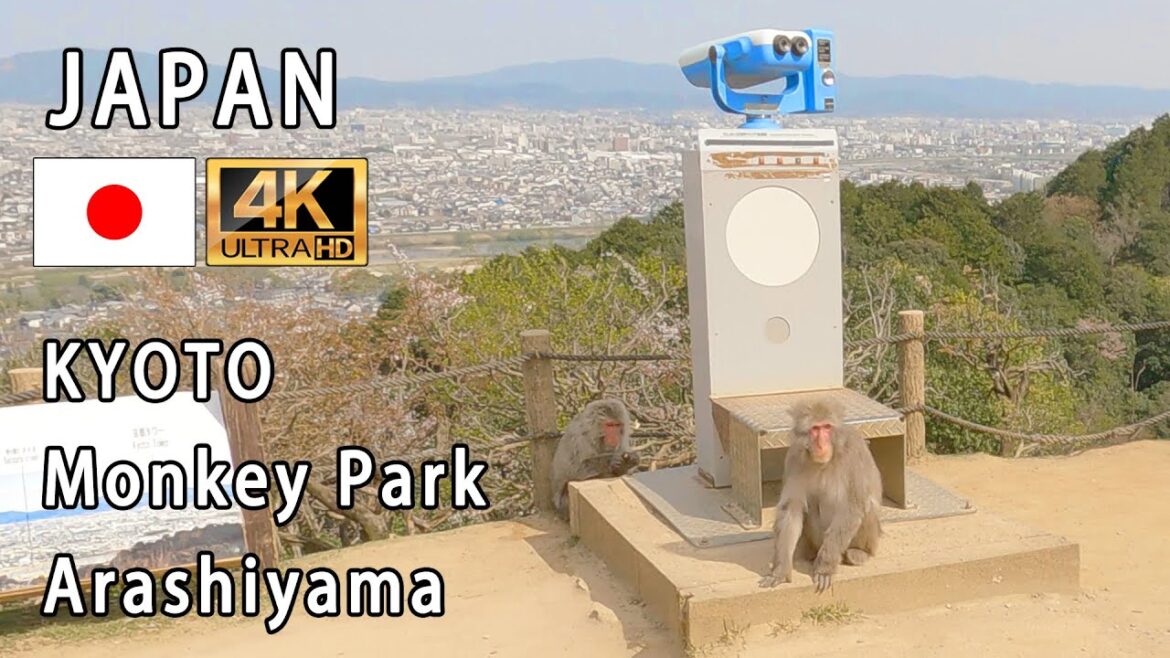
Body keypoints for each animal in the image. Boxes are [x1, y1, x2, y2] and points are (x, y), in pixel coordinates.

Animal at [758, 397, 883, 593]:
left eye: (827, 427)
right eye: (815, 429)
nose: (821, 442)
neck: (825, 462)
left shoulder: (854, 454)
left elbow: (852, 507)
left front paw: (824, 568)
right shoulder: (794, 457)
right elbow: (791, 508)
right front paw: (781, 570)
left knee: (865, 507)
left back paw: (858, 553)